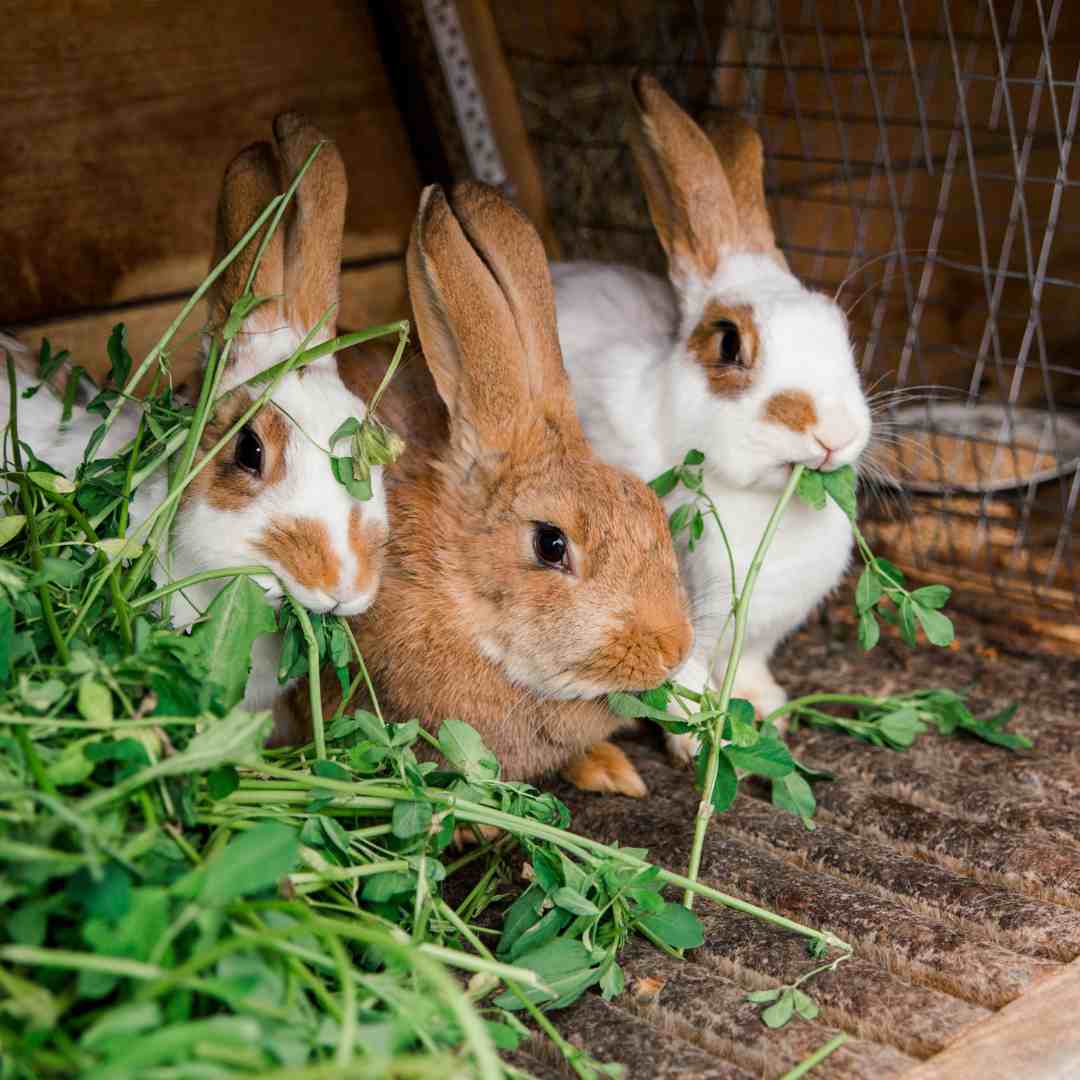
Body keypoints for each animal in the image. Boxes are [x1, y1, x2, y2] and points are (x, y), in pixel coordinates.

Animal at [552, 76, 872, 760]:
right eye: (728, 342)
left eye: (840, 330)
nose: (834, 434)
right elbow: (676, 676)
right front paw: (699, 742)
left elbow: (746, 666)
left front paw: (766, 708)